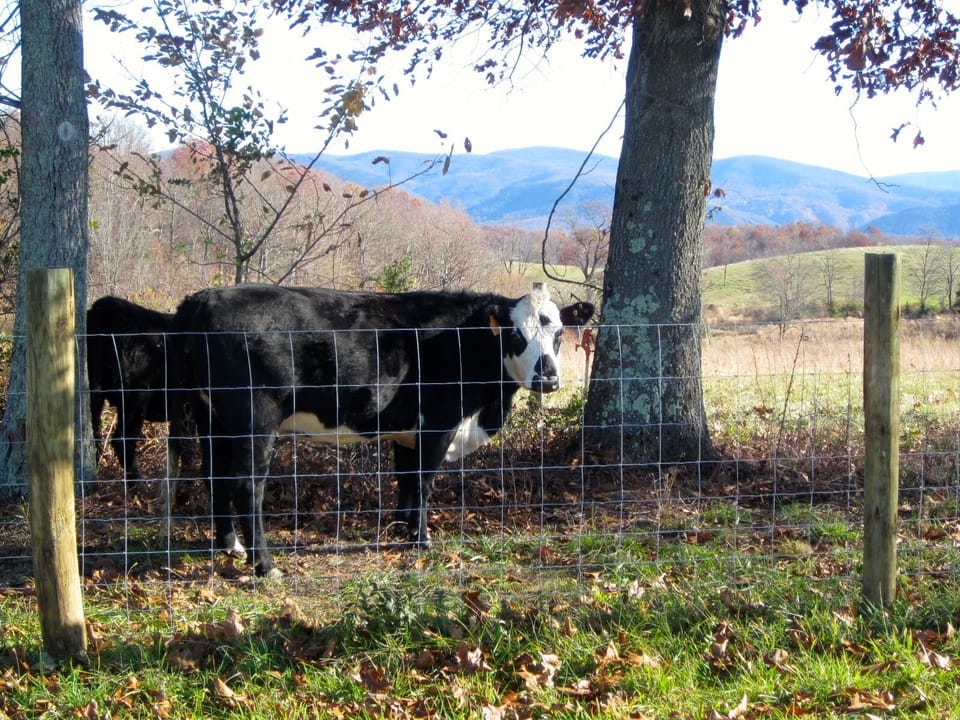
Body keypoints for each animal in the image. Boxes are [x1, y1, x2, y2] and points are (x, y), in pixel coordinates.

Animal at [166, 282, 594, 578]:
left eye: (559, 334)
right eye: (515, 334)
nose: (548, 379)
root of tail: (200, 299)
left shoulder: (406, 430)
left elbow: (405, 478)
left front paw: (402, 527)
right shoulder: (438, 423)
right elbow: (423, 481)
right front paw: (421, 538)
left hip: (211, 417)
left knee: (214, 475)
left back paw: (229, 545)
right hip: (253, 418)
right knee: (246, 484)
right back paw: (264, 564)